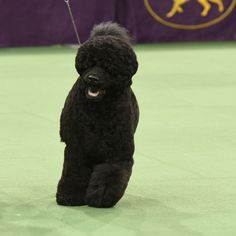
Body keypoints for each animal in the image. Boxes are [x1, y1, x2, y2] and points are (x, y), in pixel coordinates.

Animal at [56, 21, 138, 206]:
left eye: (109, 67)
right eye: (90, 63)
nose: (92, 78)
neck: (98, 112)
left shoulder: (118, 153)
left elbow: (110, 174)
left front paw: (102, 196)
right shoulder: (76, 148)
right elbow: (75, 173)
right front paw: (70, 195)